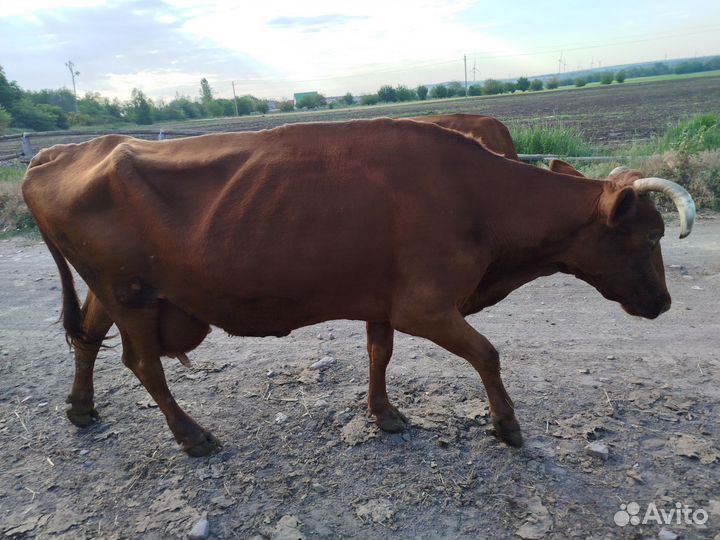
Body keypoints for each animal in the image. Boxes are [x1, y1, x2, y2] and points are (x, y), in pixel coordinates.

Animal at [22, 119, 695, 457]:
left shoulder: (385, 299)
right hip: (131, 292)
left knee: (87, 339)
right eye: (651, 235)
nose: (664, 303)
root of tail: (60, 153)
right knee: (143, 364)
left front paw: (384, 413)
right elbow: (488, 354)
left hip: (115, 289)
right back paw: (192, 436)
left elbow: (379, 353)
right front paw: (507, 427)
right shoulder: (426, 304)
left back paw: (81, 408)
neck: (477, 197)